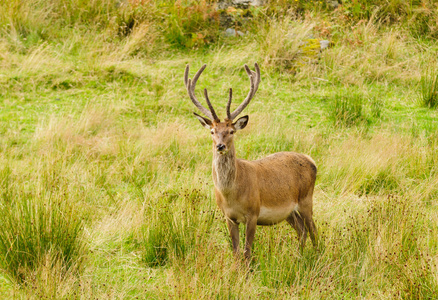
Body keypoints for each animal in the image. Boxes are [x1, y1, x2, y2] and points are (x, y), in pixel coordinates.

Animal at [183, 63, 316, 262]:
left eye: (231, 131)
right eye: (212, 131)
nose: (220, 146)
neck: (231, 194)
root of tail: (311, 160)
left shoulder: (253, 213)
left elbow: (247, 252)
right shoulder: (229, 217)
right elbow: (236, 252)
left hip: (307, 198)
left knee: (313, 230)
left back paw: (317, 256)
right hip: (290, 211)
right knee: (302, 230)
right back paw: (298, 258)